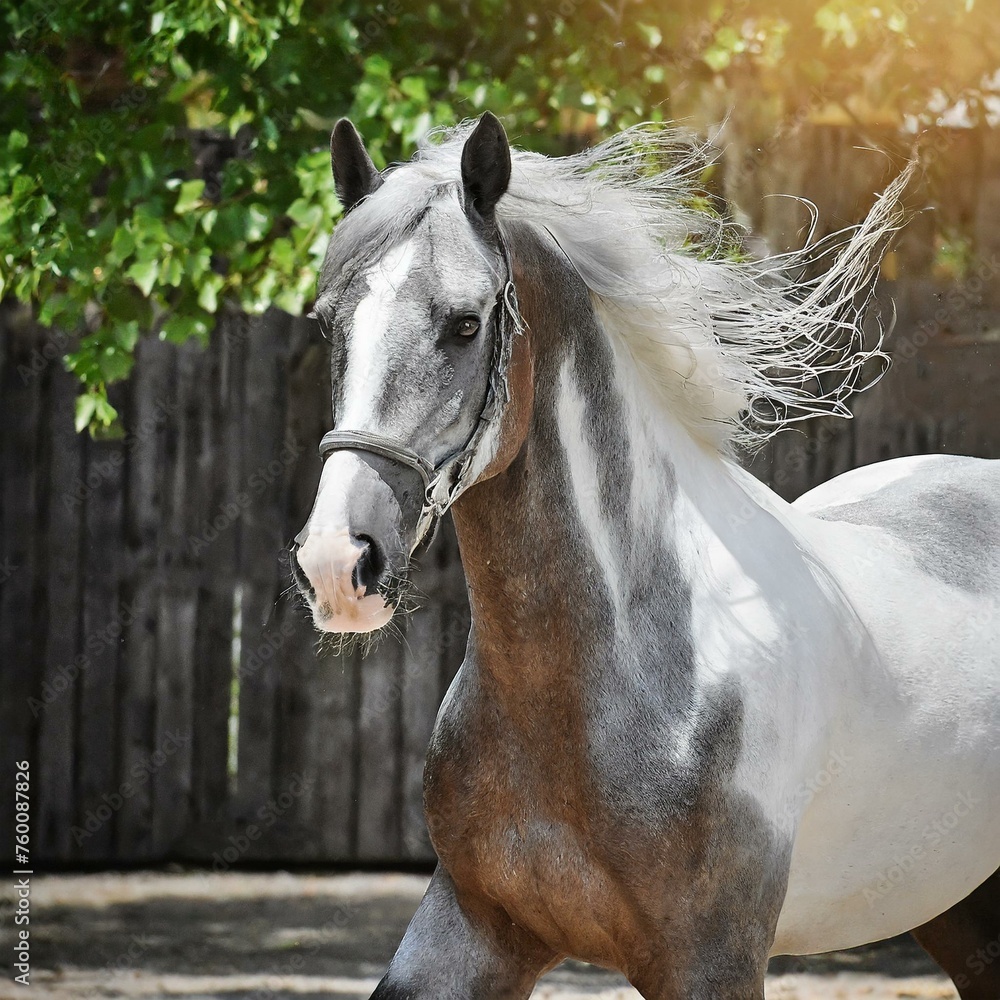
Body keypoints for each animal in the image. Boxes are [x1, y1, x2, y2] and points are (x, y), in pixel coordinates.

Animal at [290, 112, 1000, 999]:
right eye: (329, 323)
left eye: (464, 323)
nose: (336, 566)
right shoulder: (471, 929)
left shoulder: (711, 961)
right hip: (958, 911)